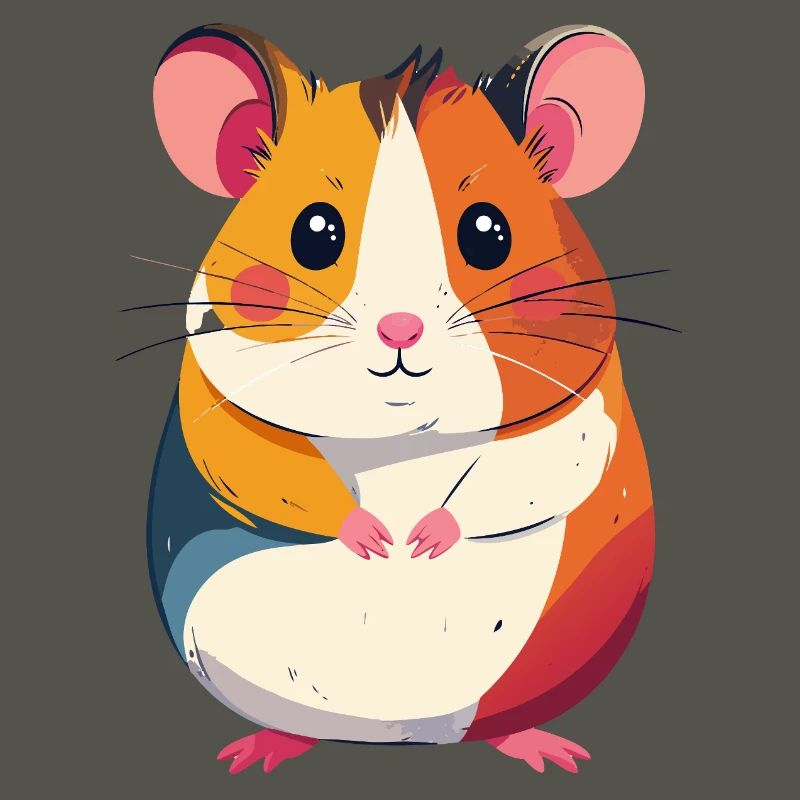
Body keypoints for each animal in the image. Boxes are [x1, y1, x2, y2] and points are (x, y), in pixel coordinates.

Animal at [146, 22, 655, 776]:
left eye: (488, 232)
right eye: (315, 232)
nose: (400, 329)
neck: (402, 438)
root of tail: (402, 734)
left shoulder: (582, 413)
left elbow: (532, 470)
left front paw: (422, 539)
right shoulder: (218, 405)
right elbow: (262, 466)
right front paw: (377, 539)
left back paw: (547, 751)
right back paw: (257, 751)